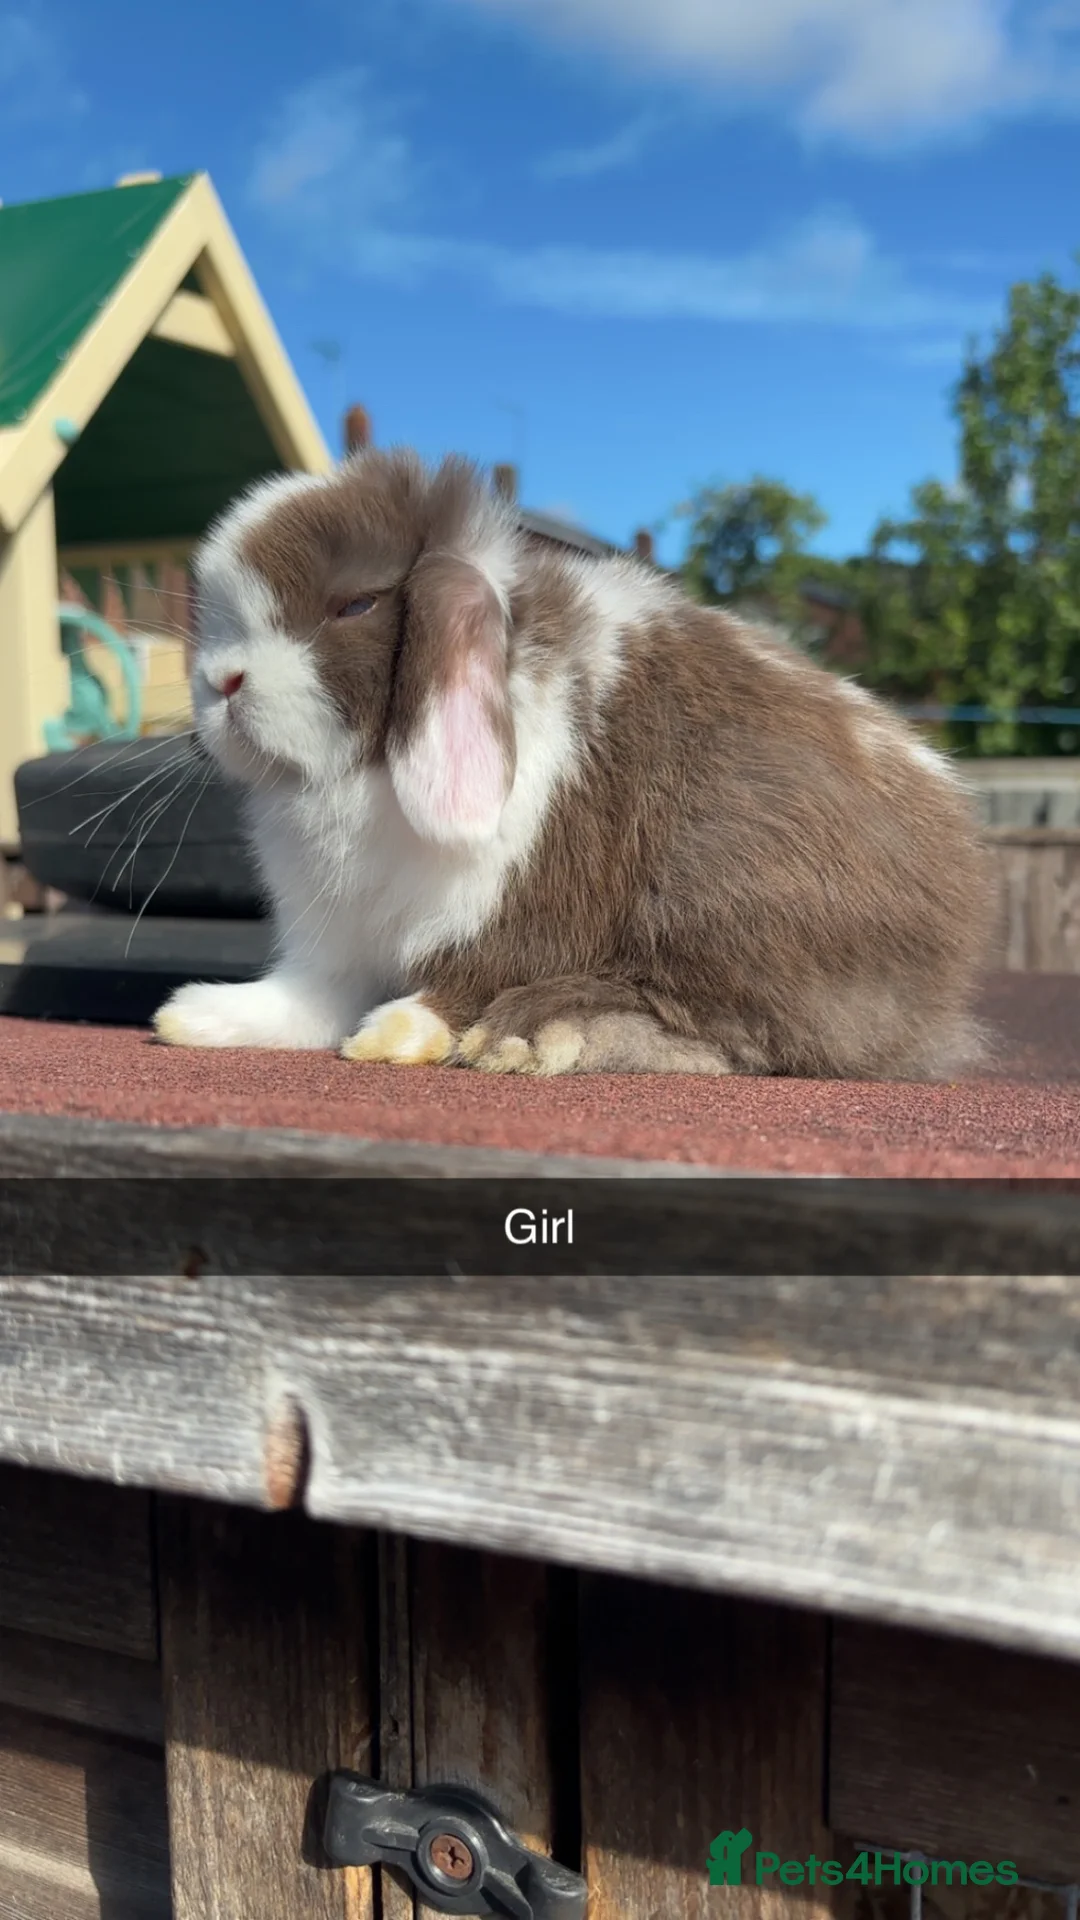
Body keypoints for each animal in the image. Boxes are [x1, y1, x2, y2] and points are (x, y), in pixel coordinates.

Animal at [153, 448, 994, 1079]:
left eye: (355, 604)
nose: (220, 682)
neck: (366, 776)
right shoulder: (332, 933)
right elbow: (307, 998)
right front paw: (198, 1016)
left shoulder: (524, 899)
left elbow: (474, 975)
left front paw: (399, 1032)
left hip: (723, 896)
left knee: (738, 1037)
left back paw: (532, 1035)